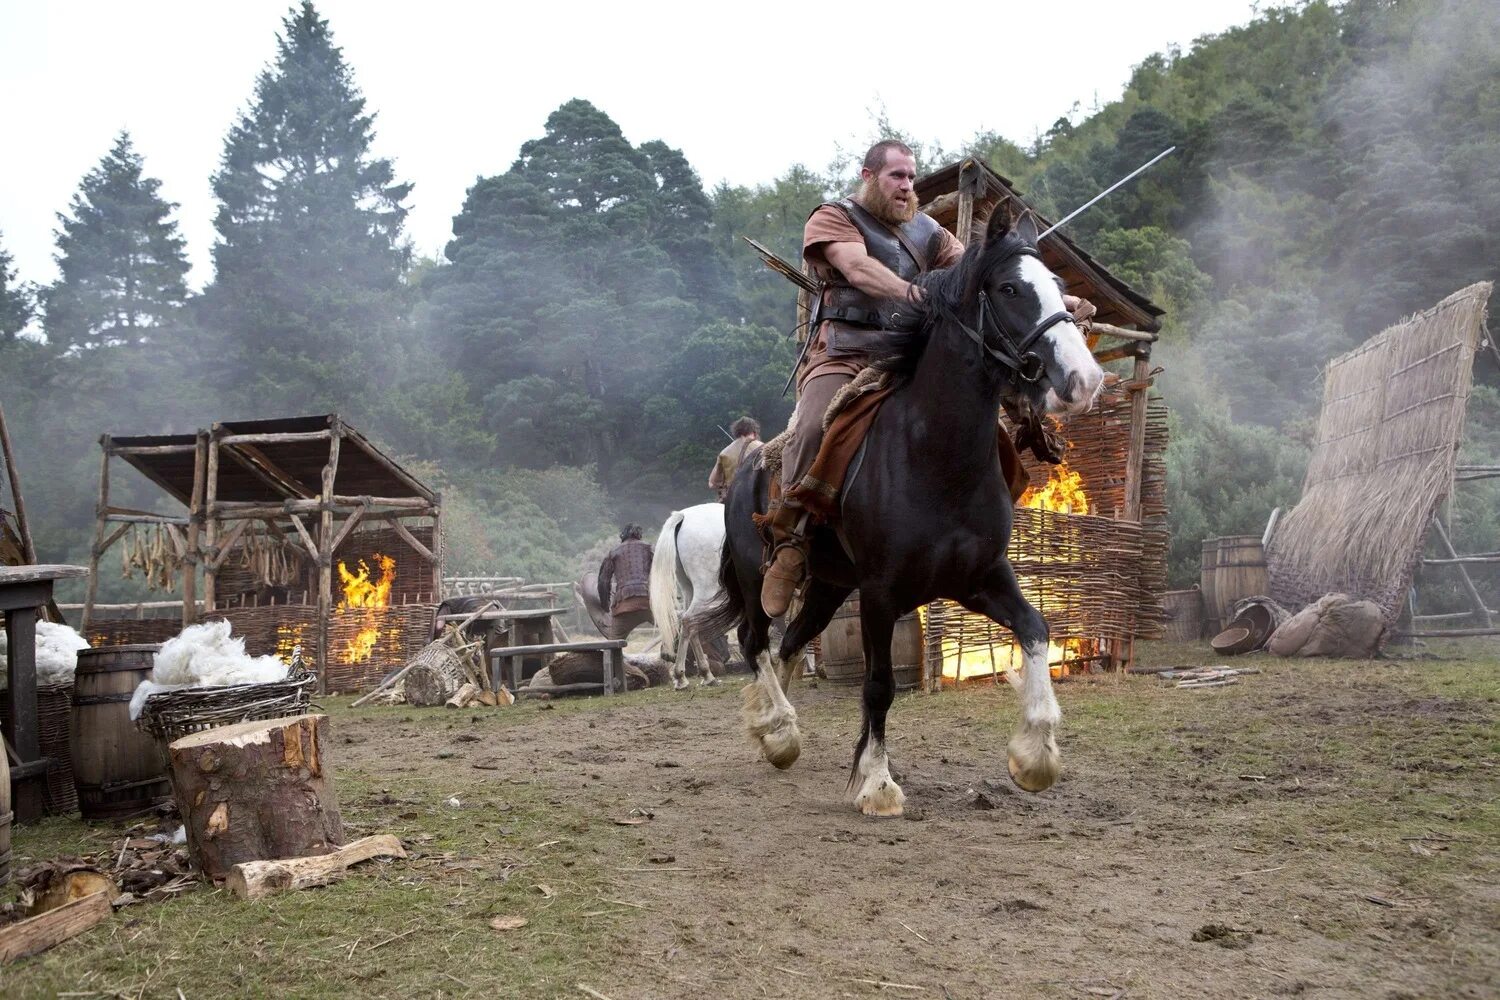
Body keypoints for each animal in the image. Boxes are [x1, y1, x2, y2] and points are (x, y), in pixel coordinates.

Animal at [651, 503, 732, 692]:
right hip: (708, 590)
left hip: (689, 589)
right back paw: (683, 676)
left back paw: (704, 675)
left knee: (689, 622)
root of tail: (683, 516)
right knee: (689, 620)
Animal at [690, 206, 1104, 815]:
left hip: (829, 585)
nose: (1084, 379)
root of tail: (745, 470)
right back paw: (779, 726)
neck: (934, 455)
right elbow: (879, 684)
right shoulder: (881, 593)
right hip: (756, 573)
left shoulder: (979, 578)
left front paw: (1035, 754)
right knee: (755, 638)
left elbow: (1035, 629)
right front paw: (878, 784)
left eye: (1057, 285)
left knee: (789, 641)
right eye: (1009, 289)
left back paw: (774, 729)